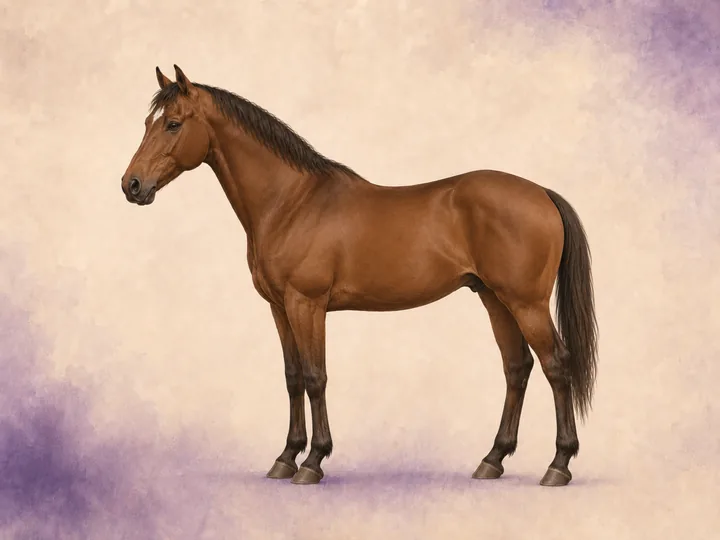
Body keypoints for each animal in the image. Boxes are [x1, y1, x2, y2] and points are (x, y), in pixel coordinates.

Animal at [120, 65, 598, 487]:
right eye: (147, 122)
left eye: (173, 124)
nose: (132, 185)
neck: (291, 202)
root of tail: (542, 193)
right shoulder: (279, 308)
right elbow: (292, 377)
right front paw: (285, 458)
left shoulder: (306, 304)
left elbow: (316, 377)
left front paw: (313, 461)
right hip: (495, 299)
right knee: (517, 367)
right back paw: (492, 459)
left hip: (525, 303)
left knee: (557, 365)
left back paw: (558, 465)